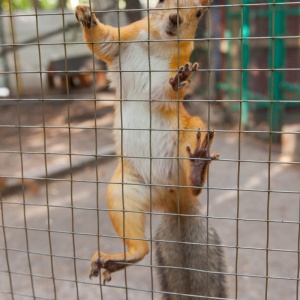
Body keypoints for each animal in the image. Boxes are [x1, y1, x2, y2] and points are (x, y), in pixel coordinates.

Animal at [75, 0, 227, 298]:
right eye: (161, 2)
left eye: (199, 13)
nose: (175, 18)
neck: (158, 44)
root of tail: (173, 200)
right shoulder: (125, 38)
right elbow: (103, 42)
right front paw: (86, 16)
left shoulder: (178, 62)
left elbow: (163, 93)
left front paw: (179, 80)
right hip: (124, 190)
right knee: (140, 247)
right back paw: (118, 259)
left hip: (190, 132)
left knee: (194, 181)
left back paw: (197, 166)